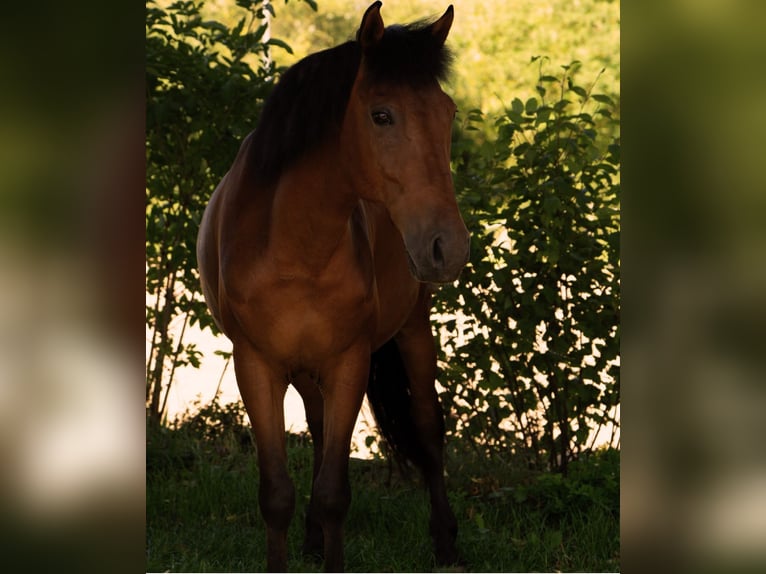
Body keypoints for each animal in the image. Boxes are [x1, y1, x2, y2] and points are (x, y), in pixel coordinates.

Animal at [195, 2, 472, 572]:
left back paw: (445, 542)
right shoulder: (256, 367)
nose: (448, 247)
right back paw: (311, 540)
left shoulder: (349, 364)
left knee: (428, 428)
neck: (295, 246)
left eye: (449, 113)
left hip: (414, 329)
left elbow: (333, 493)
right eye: (382, 115)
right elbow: (277, 493)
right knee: (320, 430)